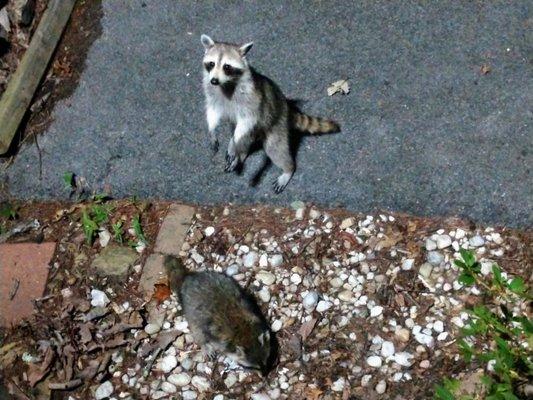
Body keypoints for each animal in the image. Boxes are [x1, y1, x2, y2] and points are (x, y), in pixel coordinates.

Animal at [202, 34, 338, 194]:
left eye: (227, 67)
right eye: (211, 64)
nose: (214, 80)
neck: (225, 84)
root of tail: (286, 107)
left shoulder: (251, 99)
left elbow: (248, 118)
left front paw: (233, 144)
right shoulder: (212, 92)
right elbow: (213, 111)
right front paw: (212, 130)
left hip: (276, 124)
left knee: (274, 149)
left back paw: (287, 169)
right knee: (245, 141)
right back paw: (239, 154)